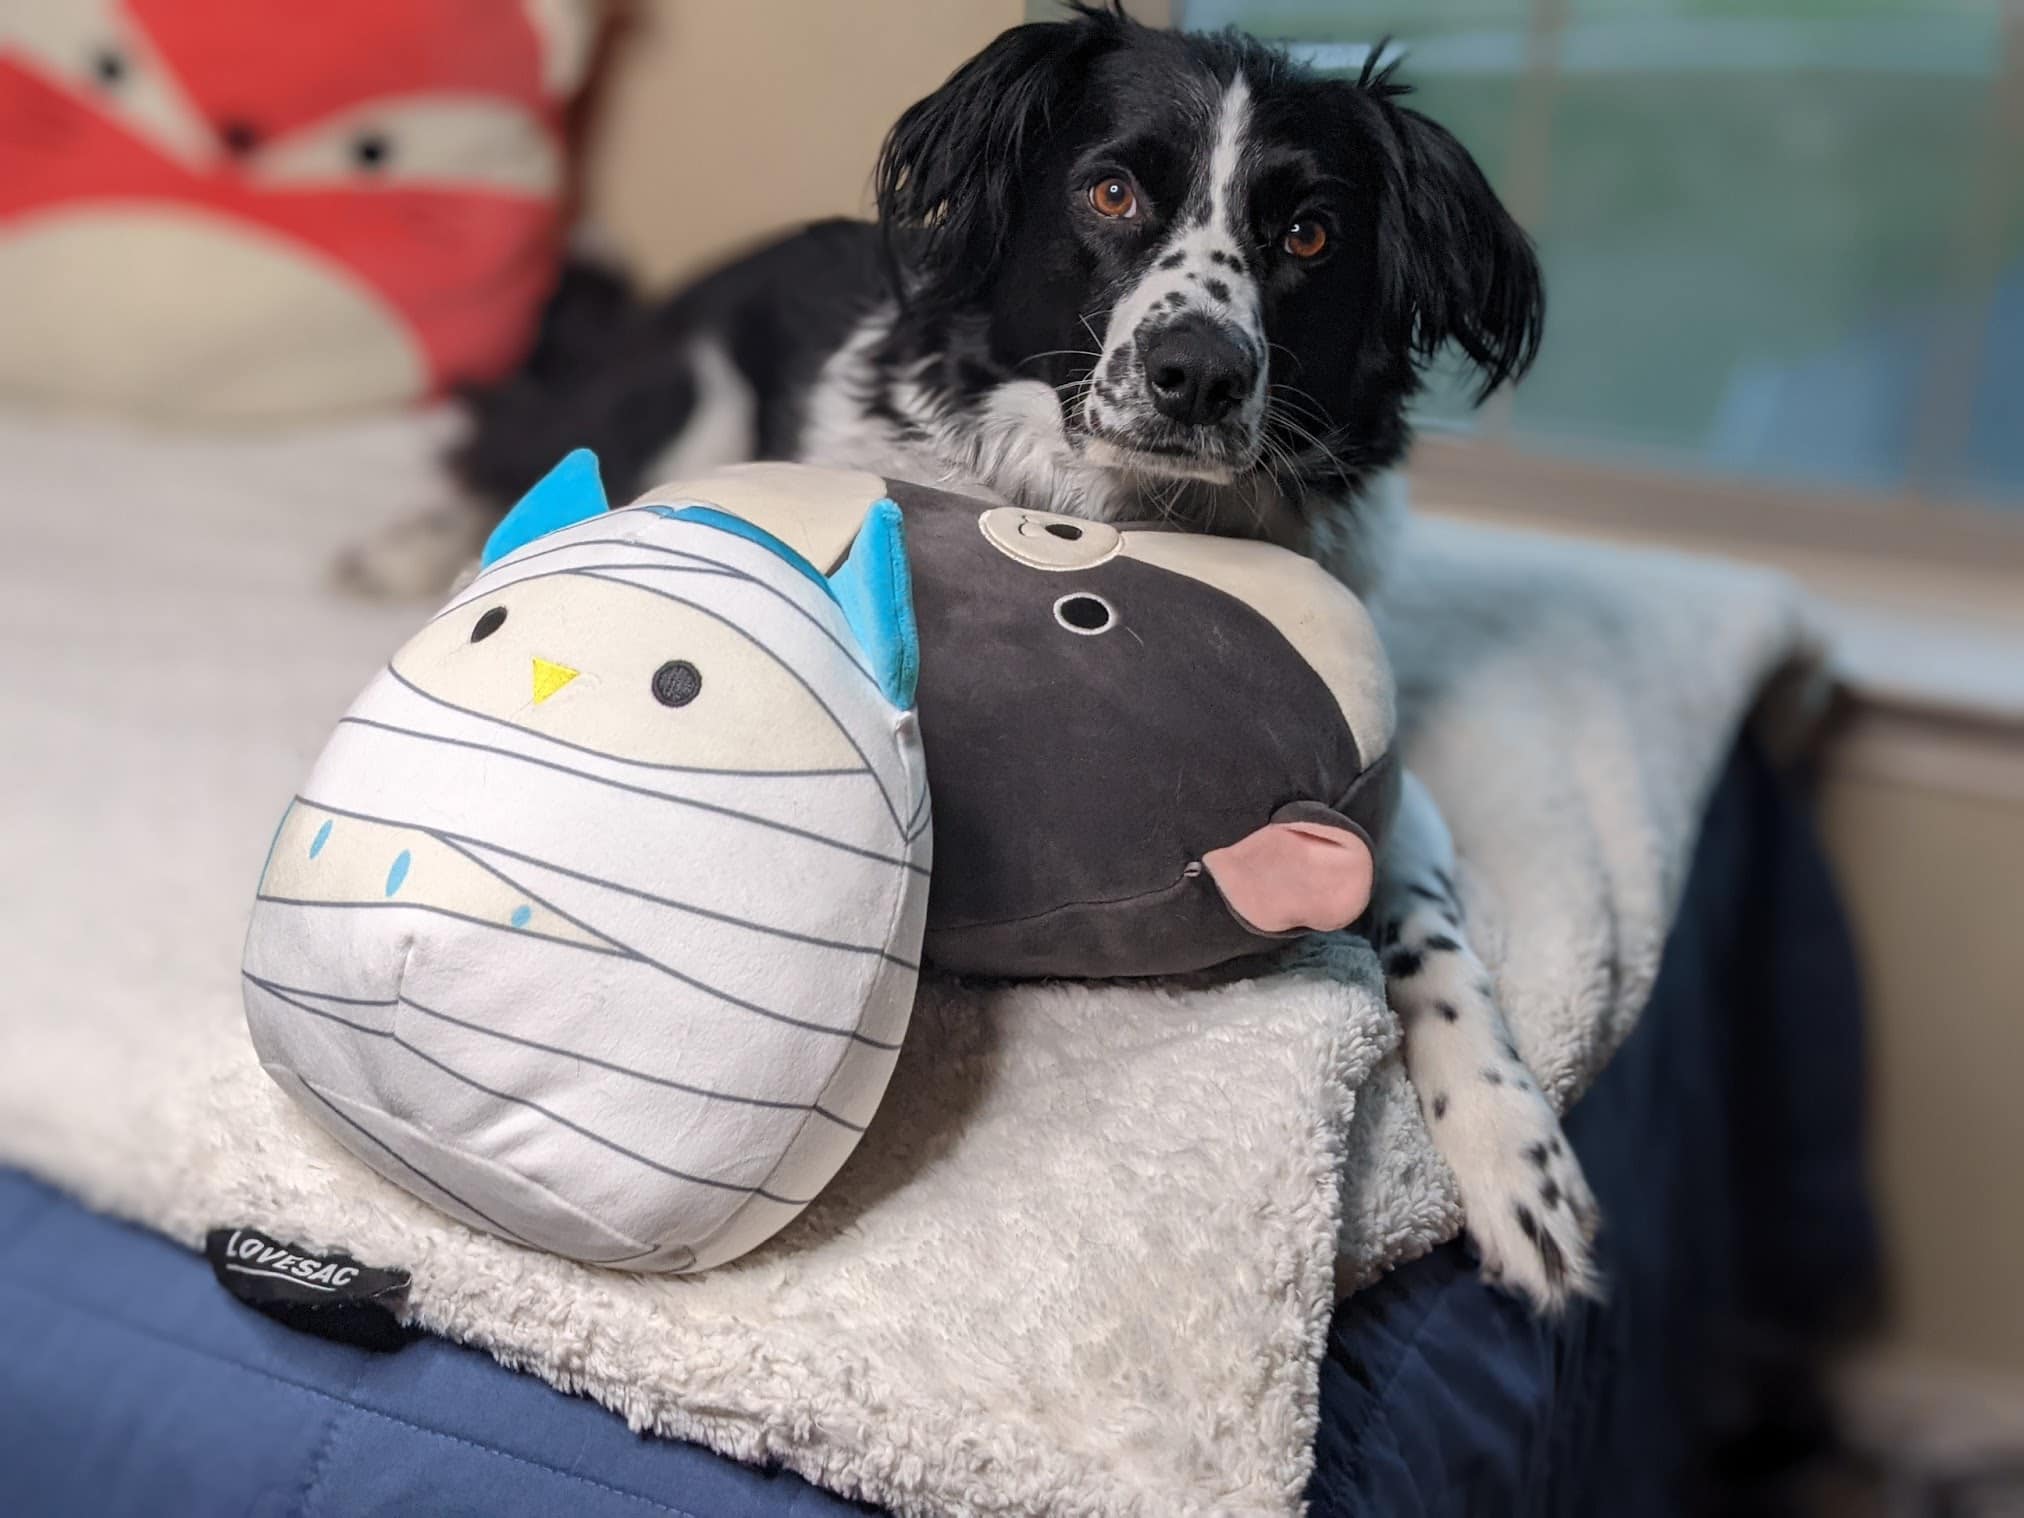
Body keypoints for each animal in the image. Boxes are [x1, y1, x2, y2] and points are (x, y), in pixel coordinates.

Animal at [360, 2, 1594, 1311]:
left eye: (1308, 233)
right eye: (1109, 192)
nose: (1199, 373)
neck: (1133, 512)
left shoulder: (1383, 772)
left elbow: (1433, 938)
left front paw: (1520, 1164)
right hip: (687, 394)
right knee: (527, 445)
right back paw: (414, 550)